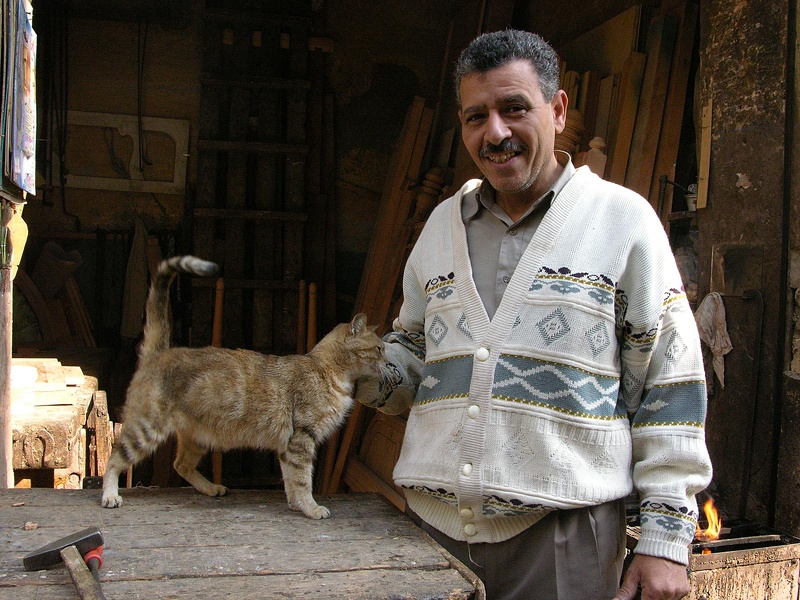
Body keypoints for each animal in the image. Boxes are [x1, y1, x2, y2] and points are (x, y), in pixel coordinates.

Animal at [102, 255, 384, 516]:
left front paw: (296, 505)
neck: (327, 369)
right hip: (147, 429)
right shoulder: (302, 440)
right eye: (379, 349)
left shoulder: (288, 447)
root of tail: (159, 352)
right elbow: (303, 481)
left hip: (197, 437)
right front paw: (311, 508)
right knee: (114, 459)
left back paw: (211, 488)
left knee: (181, 464)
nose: (388, 361)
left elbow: (290, 481)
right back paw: (110, 496)